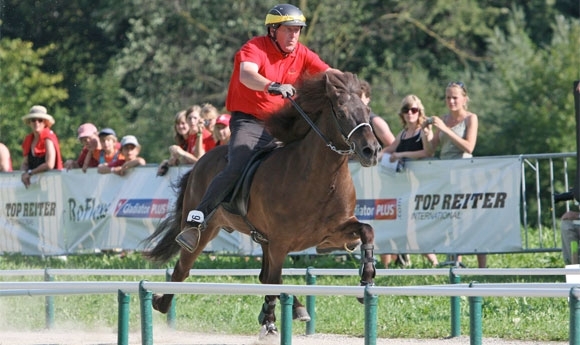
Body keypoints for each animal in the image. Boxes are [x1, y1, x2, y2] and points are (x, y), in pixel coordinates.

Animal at [142, 70, 380, 336]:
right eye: (341, 112)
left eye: (367, 110)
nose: (371, 150)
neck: (319, 177)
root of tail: (198, 163)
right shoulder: (280, 241)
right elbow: (274, 280)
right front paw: (269, 323)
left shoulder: (331, 234)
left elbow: (367, 230)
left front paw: (367, 277)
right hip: (207, 230)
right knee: (184, 268)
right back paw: (160, 302)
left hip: (263, 239)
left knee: (264, 276)